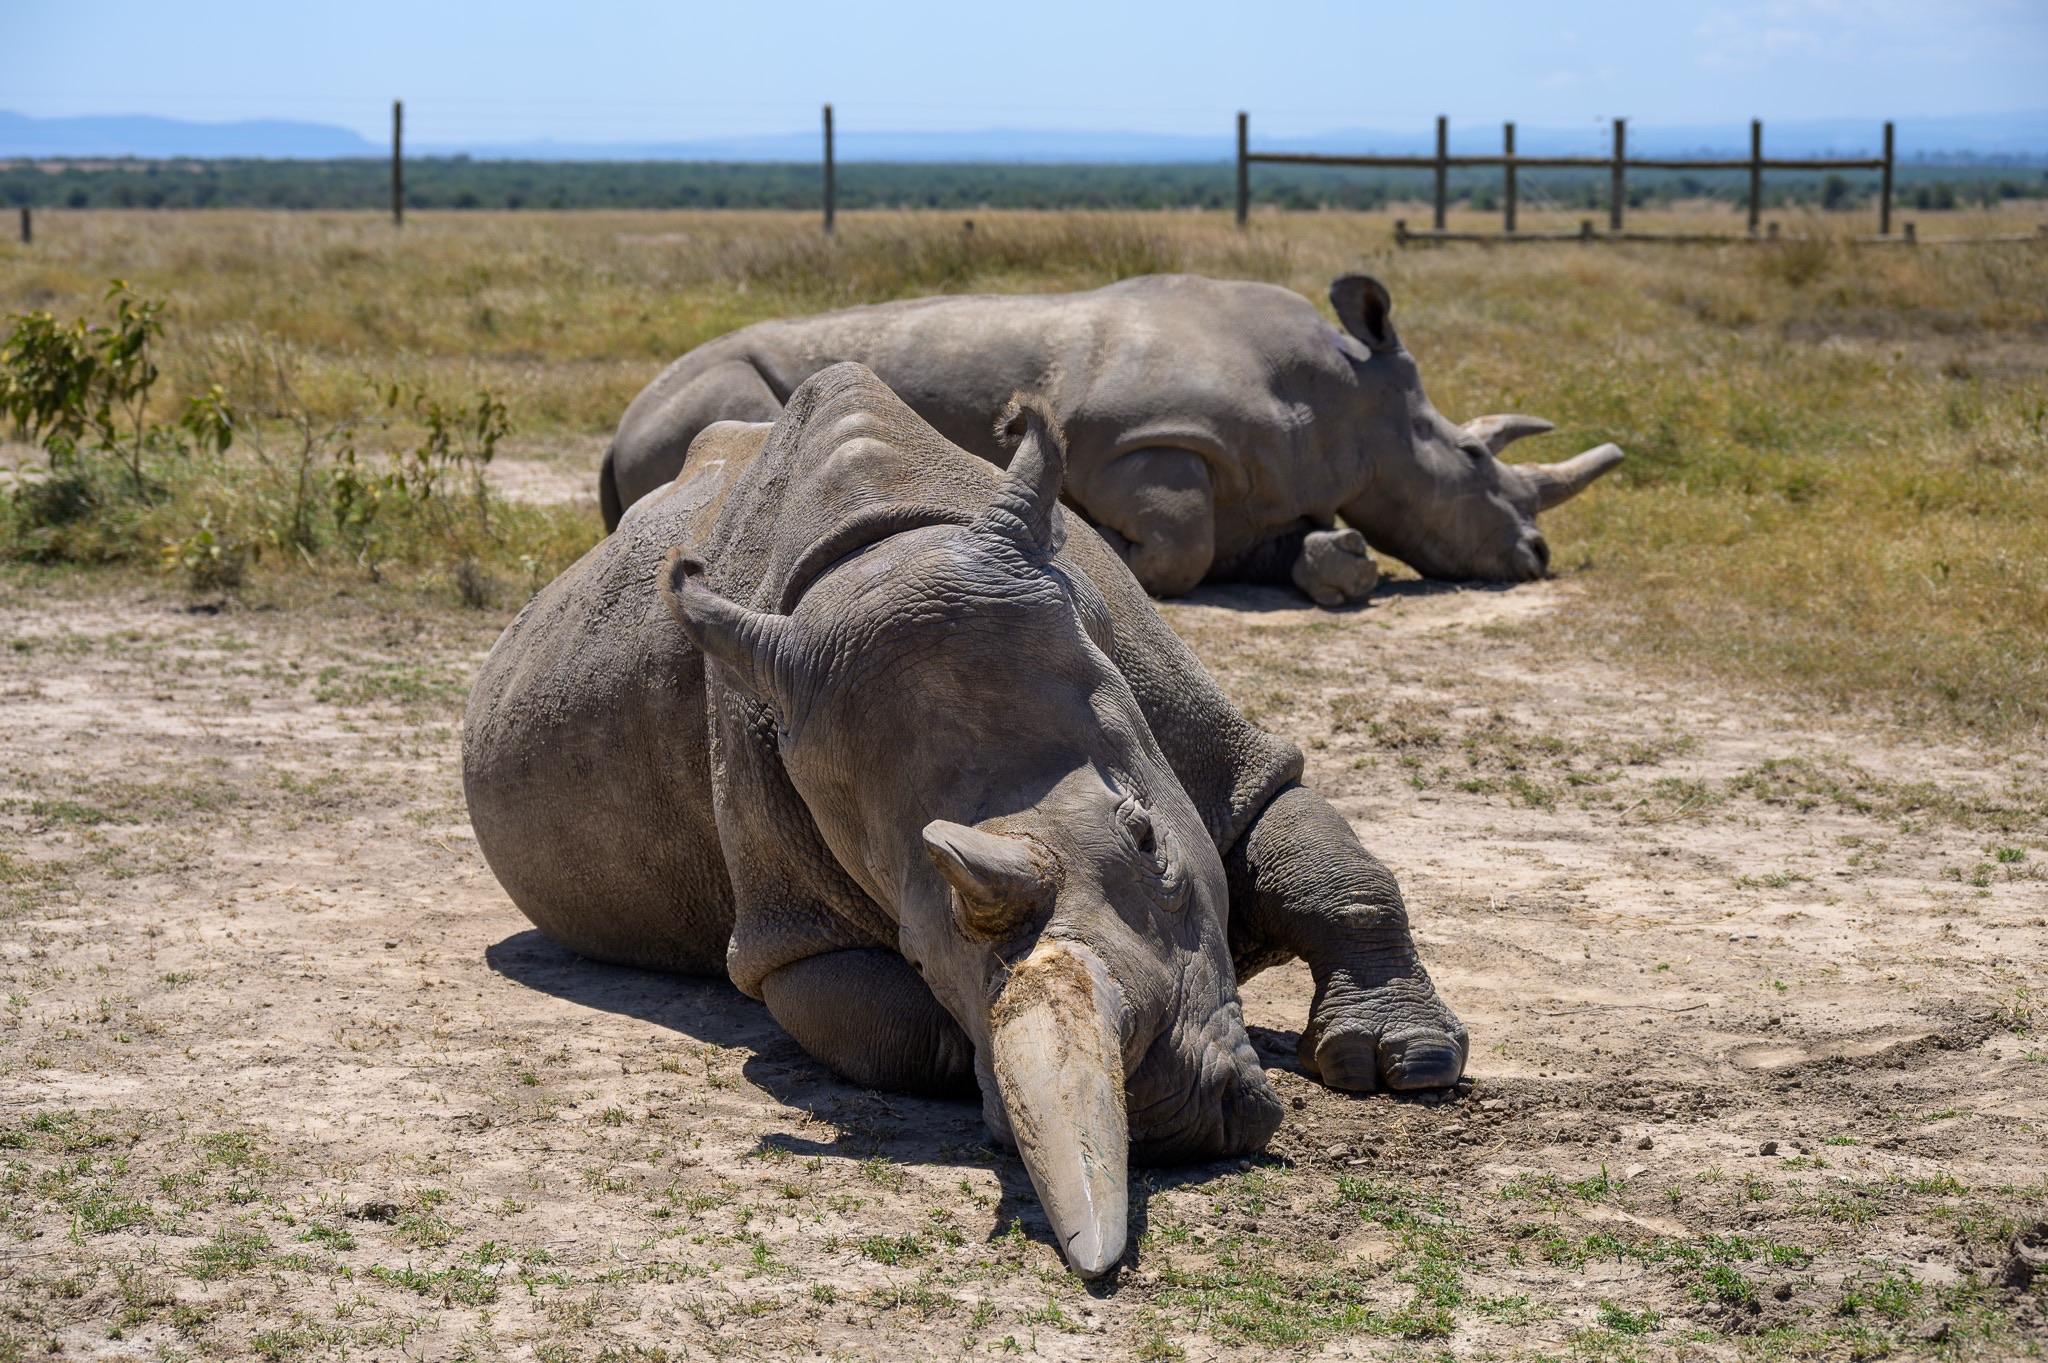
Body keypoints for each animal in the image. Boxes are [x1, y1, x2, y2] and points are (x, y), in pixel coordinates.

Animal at [467, 363, 1468, 1278]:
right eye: (914, 938)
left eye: (1148, 837)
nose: (1157, 1113)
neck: (885, 557)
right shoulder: (789, 932)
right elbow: (896, 1025)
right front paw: (1001, 1087)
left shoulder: (1201, 735)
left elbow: (1318, 855)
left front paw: (1404, 1063)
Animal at [599, 273, 1623, 606]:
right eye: (1475, 457)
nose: (1535, 556)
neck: (1346, 395)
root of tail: (614, 431)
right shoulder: (1140, 439)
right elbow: (1178, 544)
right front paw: (1095, 545)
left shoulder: (1263, 493)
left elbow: (1275, 543)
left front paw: (1337, 563)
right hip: (709, 390)